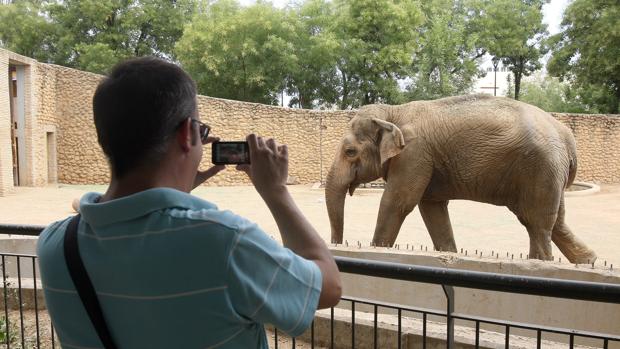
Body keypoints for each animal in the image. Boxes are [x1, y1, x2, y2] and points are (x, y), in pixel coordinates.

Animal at [326, 94, 600, 262]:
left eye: (349, 152)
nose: (337, 245)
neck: (392, 112)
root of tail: (567, 136)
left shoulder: (414, 154)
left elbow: (397, 202)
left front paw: (377, 251)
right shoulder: (423, 160)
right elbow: (432, 208)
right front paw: (449, 254)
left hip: (540, 169)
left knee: (537, 222)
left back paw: (542, 262)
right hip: (550, 173)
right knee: (554, 221)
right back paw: (588, 261)